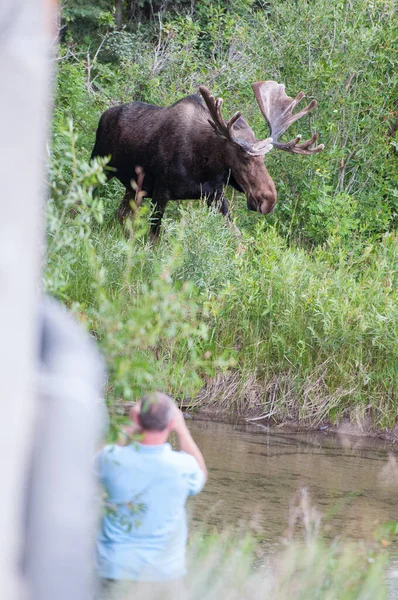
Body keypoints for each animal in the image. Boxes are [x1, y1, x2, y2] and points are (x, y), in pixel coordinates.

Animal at [90, 80, 324, 239]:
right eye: (244, 157)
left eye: (264, 158)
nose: (269, 200)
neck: (204, 165)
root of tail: (103, 115)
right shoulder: (161, 192)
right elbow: (153, 239)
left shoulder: (215, 195)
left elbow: (237, 236)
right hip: (99, 166)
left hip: (134, 188)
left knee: (121, 215)